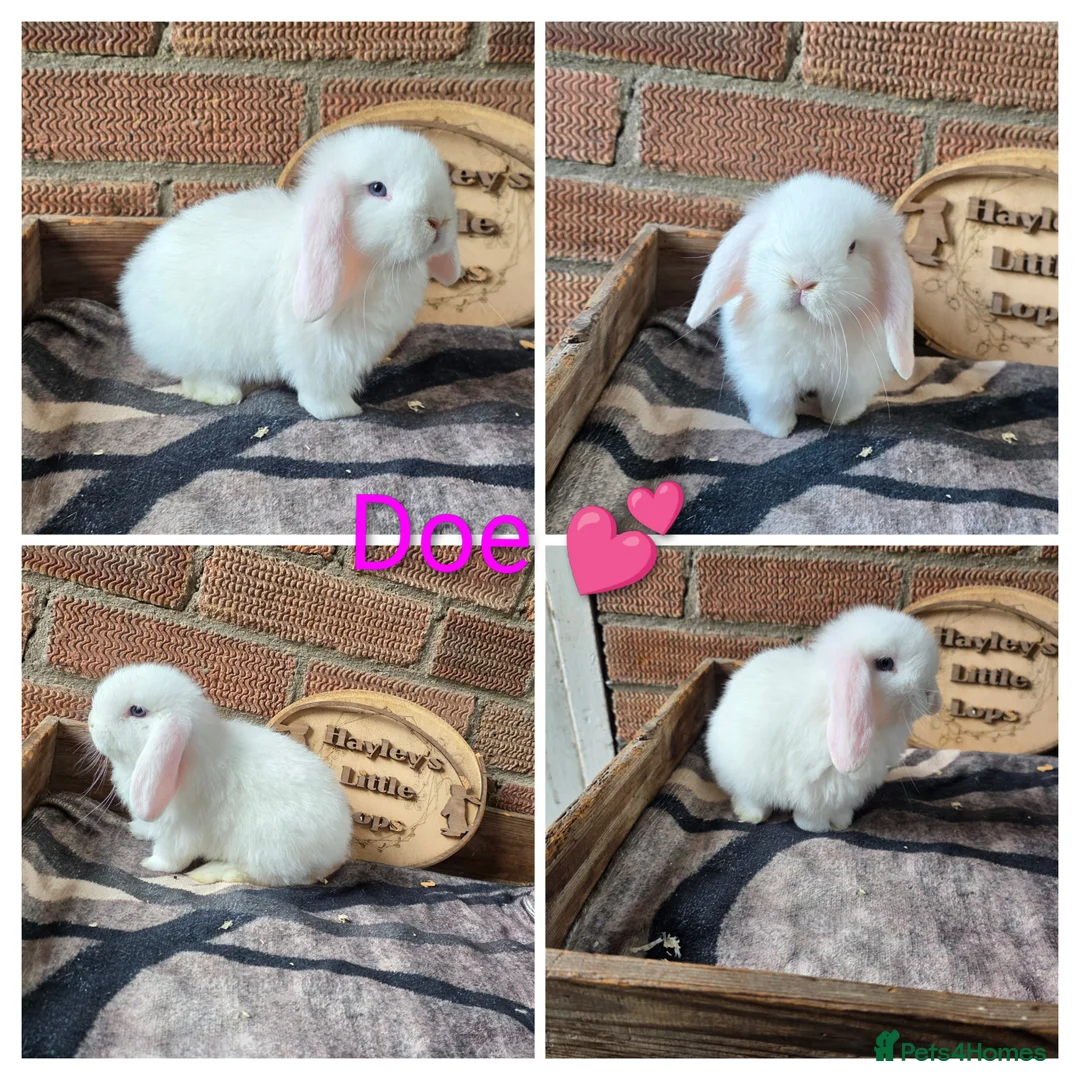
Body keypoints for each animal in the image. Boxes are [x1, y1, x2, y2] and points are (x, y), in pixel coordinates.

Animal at [88, 663, 353, 885]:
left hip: (272, 849)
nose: (91, 724)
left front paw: (151, 864)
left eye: (137, 710)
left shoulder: (180, 832)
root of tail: (338, 846)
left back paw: (212, 871)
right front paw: (137, 829)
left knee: (267, 876)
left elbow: (171, 858)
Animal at [118, 125, 461, 421]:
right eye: (378, 189)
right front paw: (339, 411)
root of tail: (130, 281)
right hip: (199, 347)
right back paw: (224, 394)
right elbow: (319, 384)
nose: (438, 221)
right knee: (195, 379)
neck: (366, 262)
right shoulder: (320, 345)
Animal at [686, 171, 915, 438]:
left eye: (852, 247)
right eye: (776, 233)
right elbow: (775, 405)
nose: (803, 281)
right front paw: (776, 431)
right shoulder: (767, 378)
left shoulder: (852, 379)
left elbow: (841, 403)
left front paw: (840, 420)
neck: (808, 323)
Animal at [705, 606, 942, 833]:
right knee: (748, 797)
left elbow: (840, 810)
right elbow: (811, 814)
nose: (929, 694)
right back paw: (752, 815)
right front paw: (817, 828)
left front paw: (842, 823)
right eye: (885, 663)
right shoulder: (813, 786)